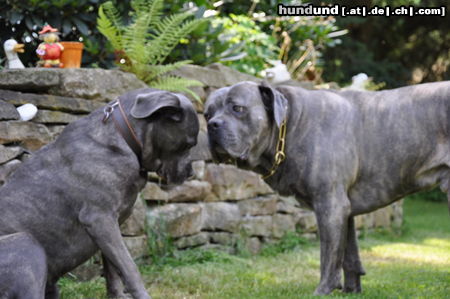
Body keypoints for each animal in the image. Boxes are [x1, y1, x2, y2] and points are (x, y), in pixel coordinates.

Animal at [0, 88, 199, 298]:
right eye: (188, 144)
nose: (191, 173)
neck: (123, 138)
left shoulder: (112, 225)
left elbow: (113, 270)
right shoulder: (99, 219)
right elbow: (129, 267)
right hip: (26, 243)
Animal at [205, 81, 450, 296]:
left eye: (238, 108)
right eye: (207, 114)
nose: (212, 125)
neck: (291, 125)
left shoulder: (330, 206)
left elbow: (329, 257)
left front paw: (323, 290)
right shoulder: (344, 209)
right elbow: (349, 255)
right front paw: (351, 290)